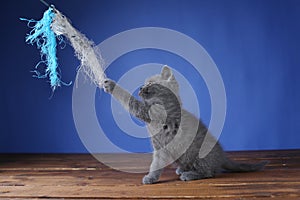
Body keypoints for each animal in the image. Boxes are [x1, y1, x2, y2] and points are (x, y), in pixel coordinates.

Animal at [103, 65, 268, 184]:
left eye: (149, 83)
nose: (140, 88)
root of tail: (222, 157)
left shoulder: (151, 113)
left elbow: (129, 100)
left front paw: (110, 85)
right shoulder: (160, 148)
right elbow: (156, 163)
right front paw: (152, 176)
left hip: (200, 154)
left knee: (210, 172)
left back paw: (189, 174)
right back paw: (182, 169)